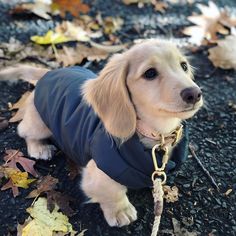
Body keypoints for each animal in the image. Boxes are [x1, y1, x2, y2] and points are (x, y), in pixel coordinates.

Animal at [0, 39, 203, 227]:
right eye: (150, 73)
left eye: (184, 66)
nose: (194, 93)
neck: (154, 133)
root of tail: (49, 73)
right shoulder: (100, 171)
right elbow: (112, 192)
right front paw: (120, 211)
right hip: (39, 124)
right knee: (24, 131)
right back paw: (39, 148)